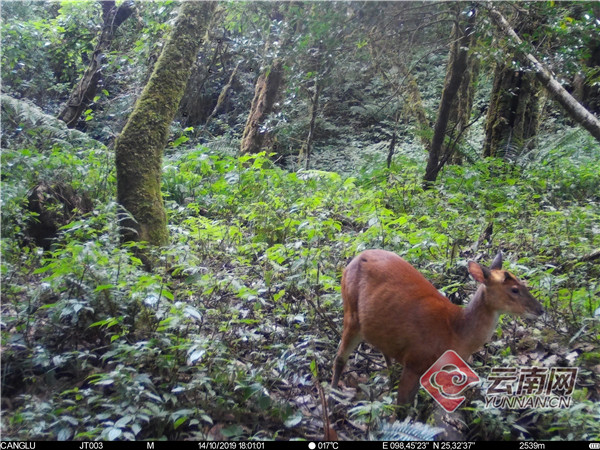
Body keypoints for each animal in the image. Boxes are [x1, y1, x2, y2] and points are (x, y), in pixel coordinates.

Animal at [332, 250, 544, 404]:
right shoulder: (415, 360)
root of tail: (354, 258)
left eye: (523, 283)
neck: (455, 331)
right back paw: (333, 396)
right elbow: (402, 408)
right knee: (340, 357)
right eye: (514, 290)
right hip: (351, 311)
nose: (540, 309)